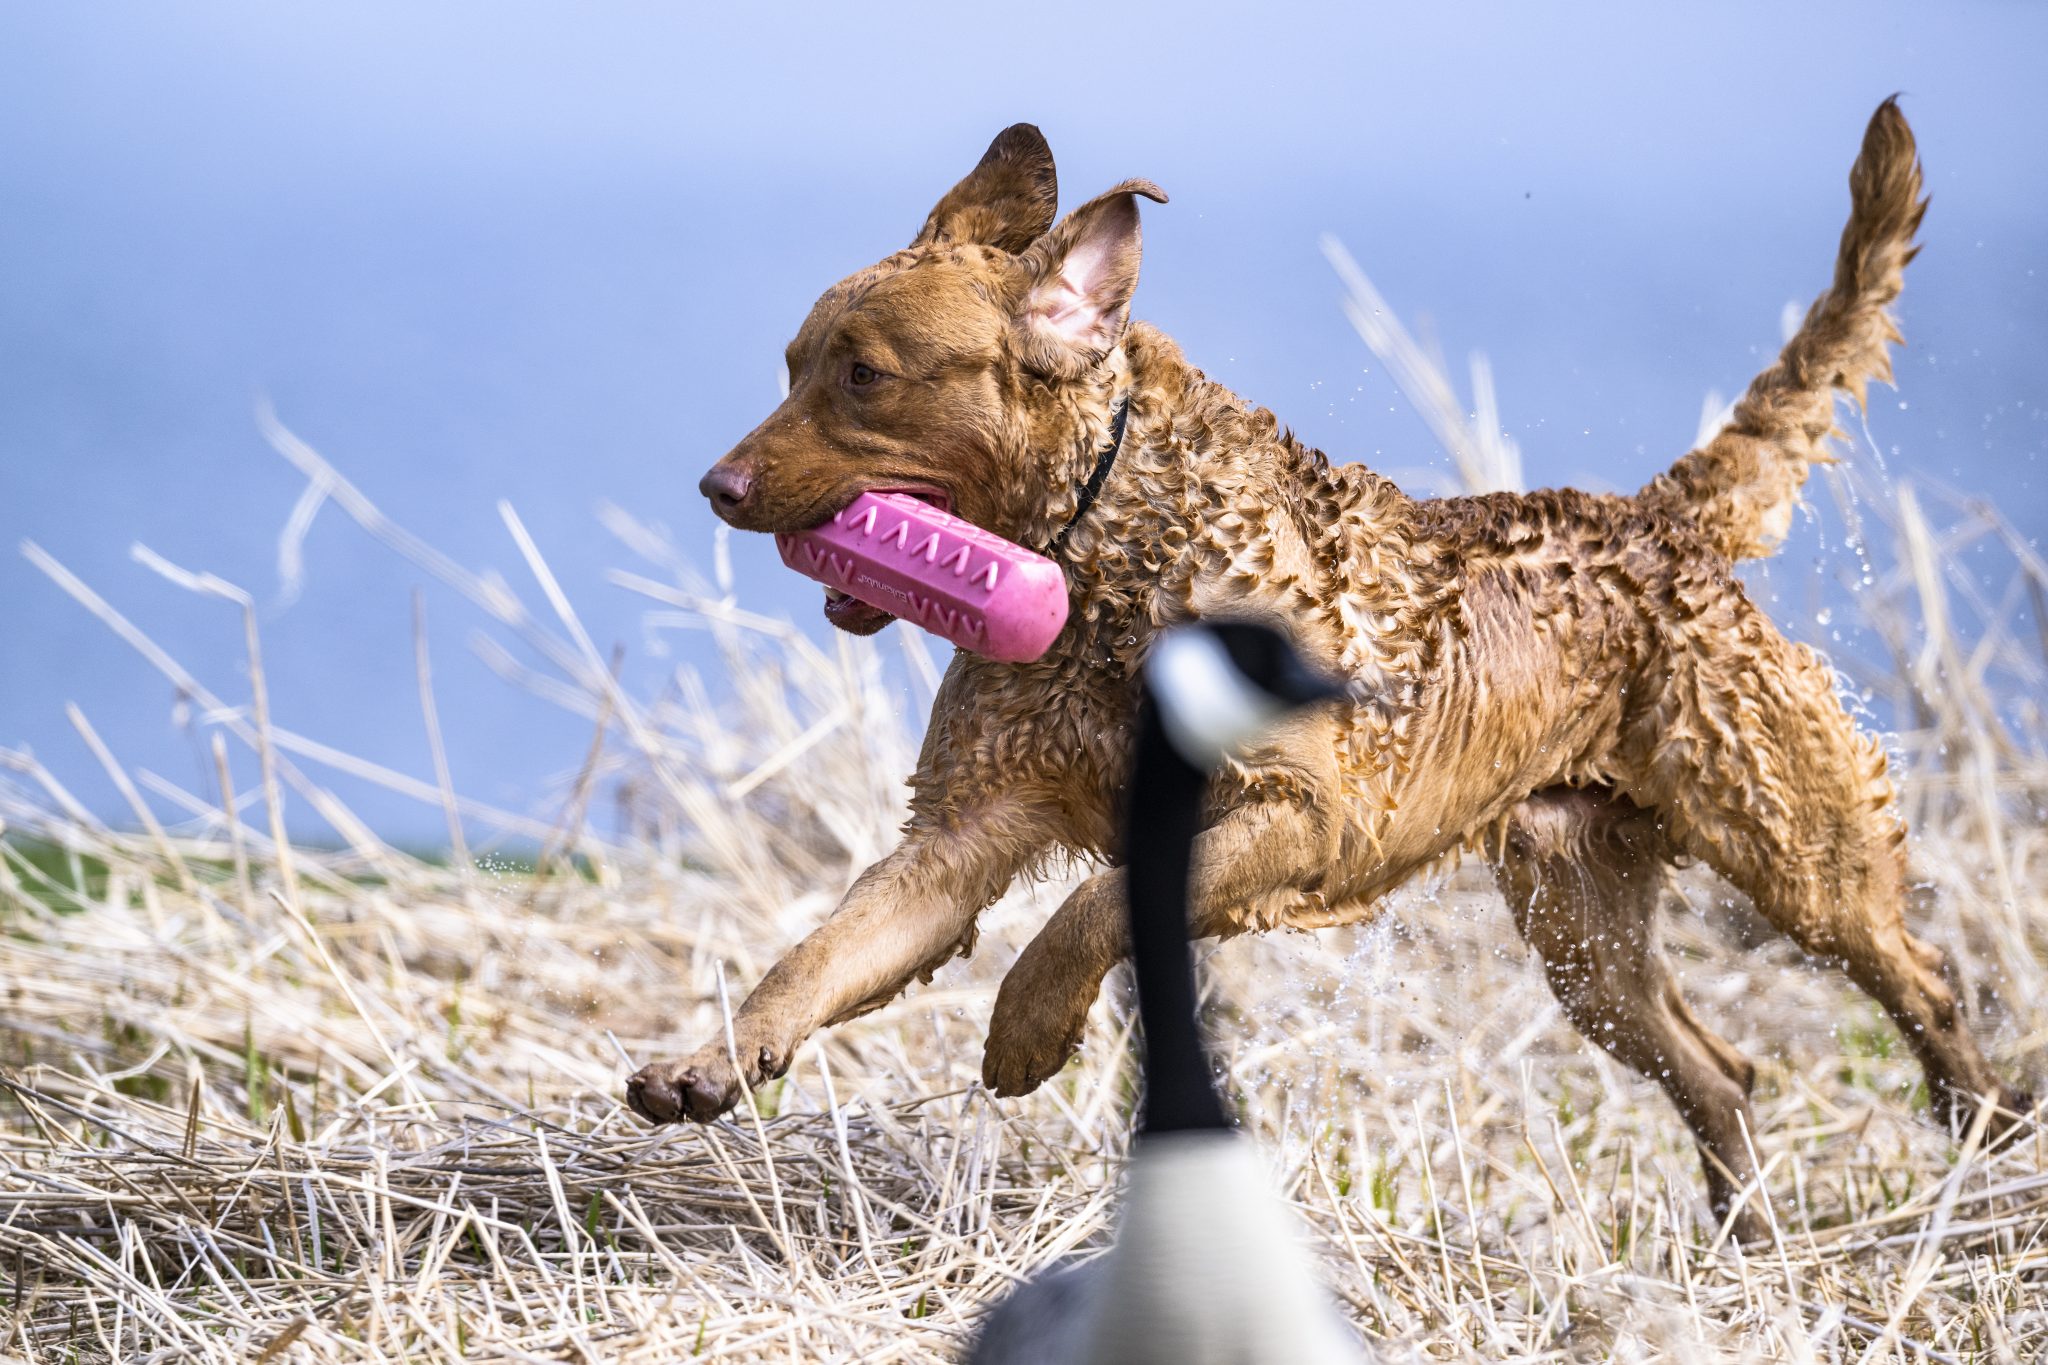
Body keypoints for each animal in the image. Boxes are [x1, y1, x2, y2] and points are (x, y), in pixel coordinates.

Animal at [629, 100, 2029, 1239]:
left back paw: (1983, 1146)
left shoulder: (1301, 814)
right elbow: (822, 951)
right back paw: (1744, 1240)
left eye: (863, 376)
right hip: (1581, 926)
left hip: (1792, 841)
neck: (1107, 552)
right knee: (1717, 1069)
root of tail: (1658, 518)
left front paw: (1024, 1031)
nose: (713, 486)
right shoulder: (962, 834)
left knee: (1918, 979)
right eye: (790, 366)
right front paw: (710, 1061)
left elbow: (1086, 907)